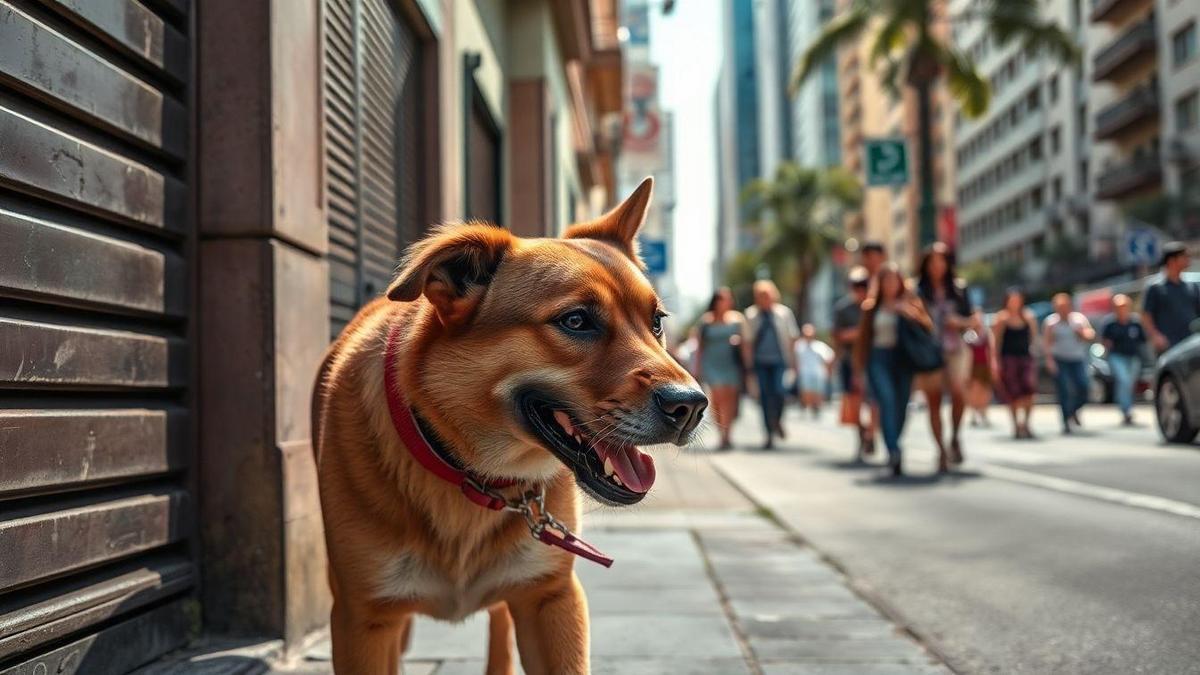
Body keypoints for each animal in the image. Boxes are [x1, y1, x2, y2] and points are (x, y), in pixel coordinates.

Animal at [312, 178, 700, 672]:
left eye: (656, 323)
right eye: (576, 320)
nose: (692, 405)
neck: (470, 474)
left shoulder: (552, 600)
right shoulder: (363, 619)